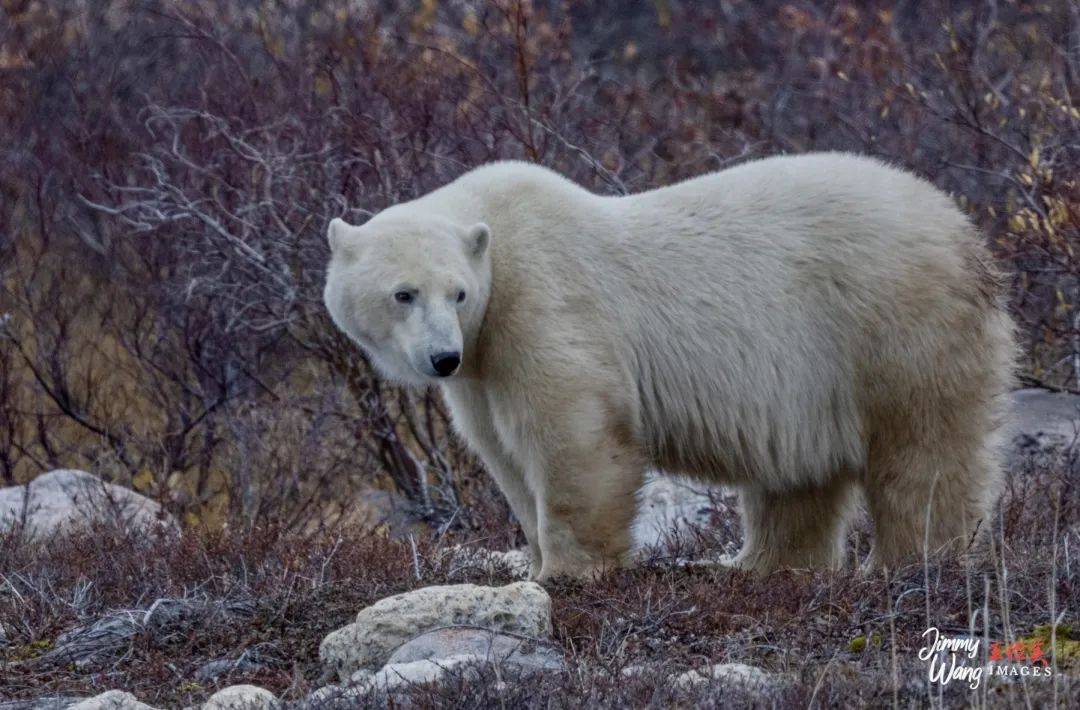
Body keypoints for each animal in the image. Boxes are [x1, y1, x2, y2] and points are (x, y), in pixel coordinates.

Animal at [319, 152, 1010, 579]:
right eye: (403, 293)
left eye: (456, 293)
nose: (442, 357)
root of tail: (965, 232)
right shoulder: (483, 368)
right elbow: (504, 454)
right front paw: (535, 560)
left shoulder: (543, 305)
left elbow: (575, 434)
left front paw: (570, 572)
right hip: (815, 372)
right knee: (798, 477)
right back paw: (756, 563)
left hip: (893, 322)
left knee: (922, 453)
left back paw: (912, 561)